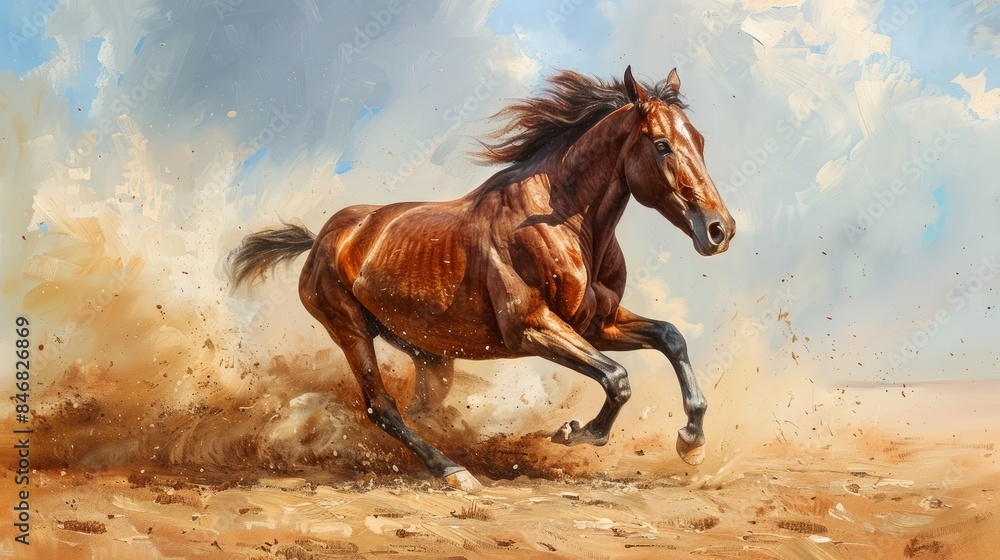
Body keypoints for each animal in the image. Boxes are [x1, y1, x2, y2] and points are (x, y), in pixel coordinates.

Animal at [228, 66, 735, 492]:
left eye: (701, 141)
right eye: (662, 144)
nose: (720, 230)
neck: (564, 223)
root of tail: (324, 238)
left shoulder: (597, 323)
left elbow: (670, 338)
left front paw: (691, 441)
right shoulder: (530, 327)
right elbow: (617, 378)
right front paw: (576, 432)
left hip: (429, 353)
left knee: (421, 407)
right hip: (350, 330)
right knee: (382, 408)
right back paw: (453, 471)